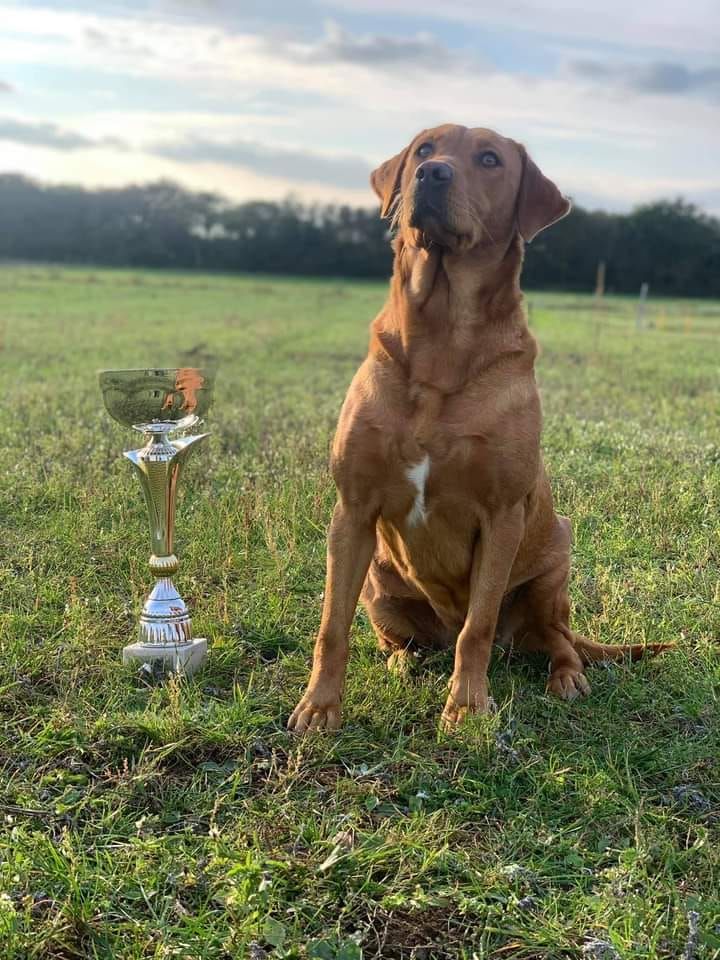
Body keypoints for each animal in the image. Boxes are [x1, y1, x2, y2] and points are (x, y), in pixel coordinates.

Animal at [288, 122, 668, 736]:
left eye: (490, 160)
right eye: (424, 148)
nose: (431, 173)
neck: (442, 335)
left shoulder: (502, 516)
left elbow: (479, 627)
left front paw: (467, 706)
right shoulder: (352, 510)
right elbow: (331, 627)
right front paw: (320, 706)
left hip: (554, 567)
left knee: (556, 639)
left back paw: (566, 677)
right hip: (378, 584)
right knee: (401, 640)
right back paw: (404, 662)